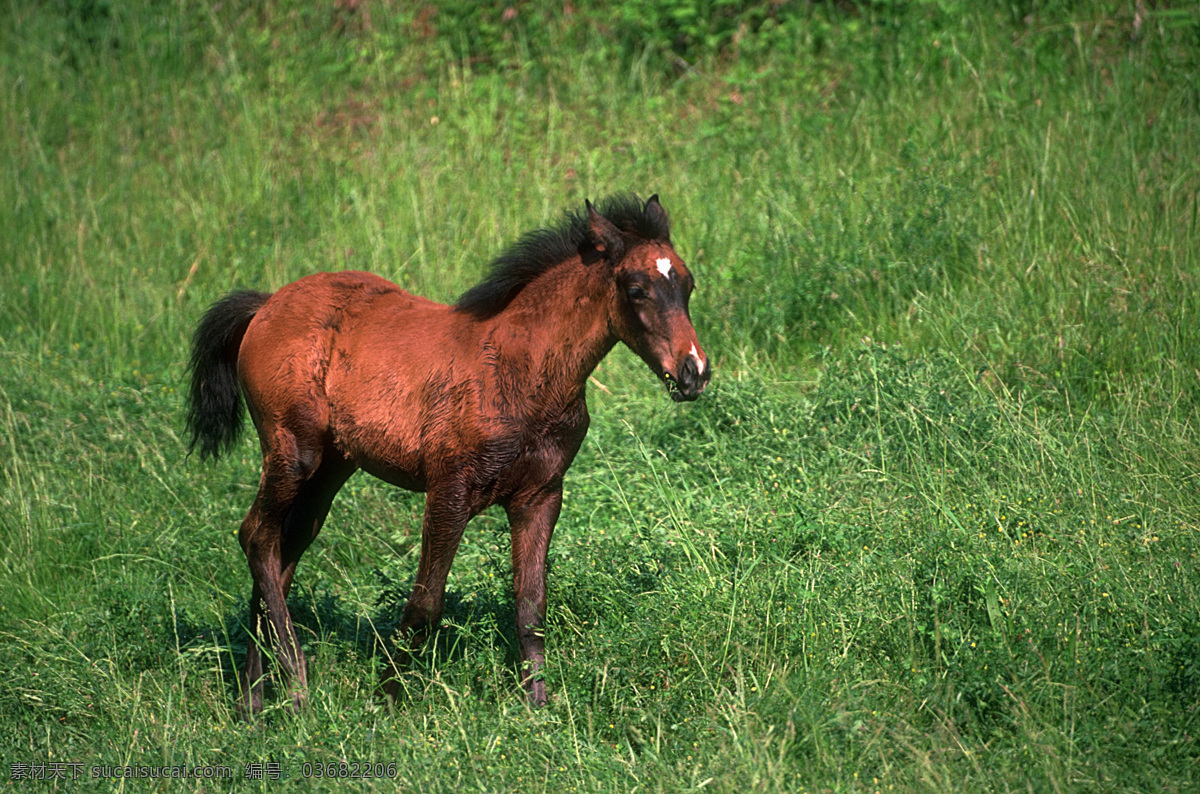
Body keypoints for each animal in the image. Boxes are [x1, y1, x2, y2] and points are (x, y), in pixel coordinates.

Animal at [187, 194, 710, 714]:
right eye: (637, 289)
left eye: (687, 284)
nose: (694, 372)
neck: (521, 369)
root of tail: (266, 306)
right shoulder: (449, 491)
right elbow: (425, 604)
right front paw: (386, 702)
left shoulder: (540, 496)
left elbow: (530, 608)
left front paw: (537, 709)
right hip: (293, 452)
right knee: (257, 537)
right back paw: (295, 689)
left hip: (329, 471)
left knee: (280, 554)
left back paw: (255, 700)